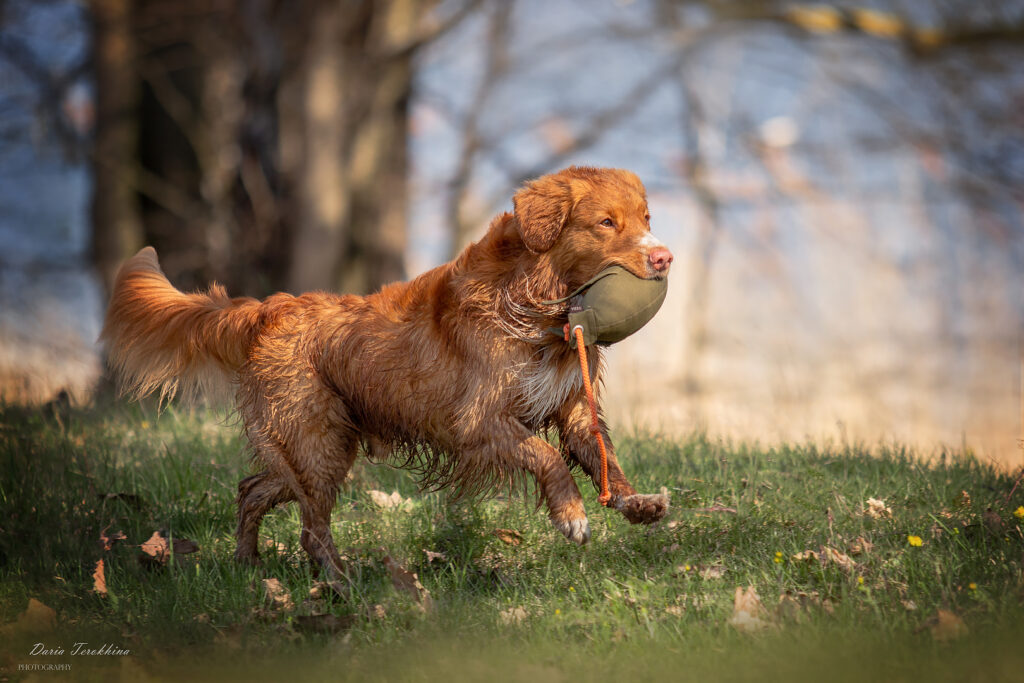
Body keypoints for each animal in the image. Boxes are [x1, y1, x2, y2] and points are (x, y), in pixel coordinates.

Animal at [103, 166, 675, 577]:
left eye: (648, 219)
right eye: (606, 223)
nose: (665, 257)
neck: (536, 304)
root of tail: (270, 308)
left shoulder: (573, 405)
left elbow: (603, 458)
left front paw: (635, 502)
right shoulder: (478, 422)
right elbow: (547, 458)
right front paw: (572, 516)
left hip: (316, 447)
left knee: (253, 489)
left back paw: (249, 565)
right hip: (317, 442)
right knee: (309, 527)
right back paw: (340, 582)